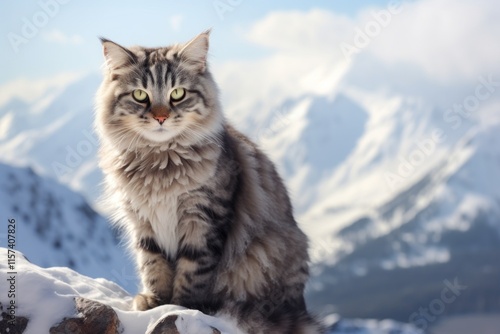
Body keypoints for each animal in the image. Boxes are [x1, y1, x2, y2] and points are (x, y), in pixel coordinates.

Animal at [96, 31, 326, 334]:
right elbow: (153, 265)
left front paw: (180, 306)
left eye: (178, 93)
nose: (160, 117)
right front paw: (155, 301)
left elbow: (192, 272)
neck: (159, 164)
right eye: (140, 95)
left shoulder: (203, 219)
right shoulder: (143, 221)